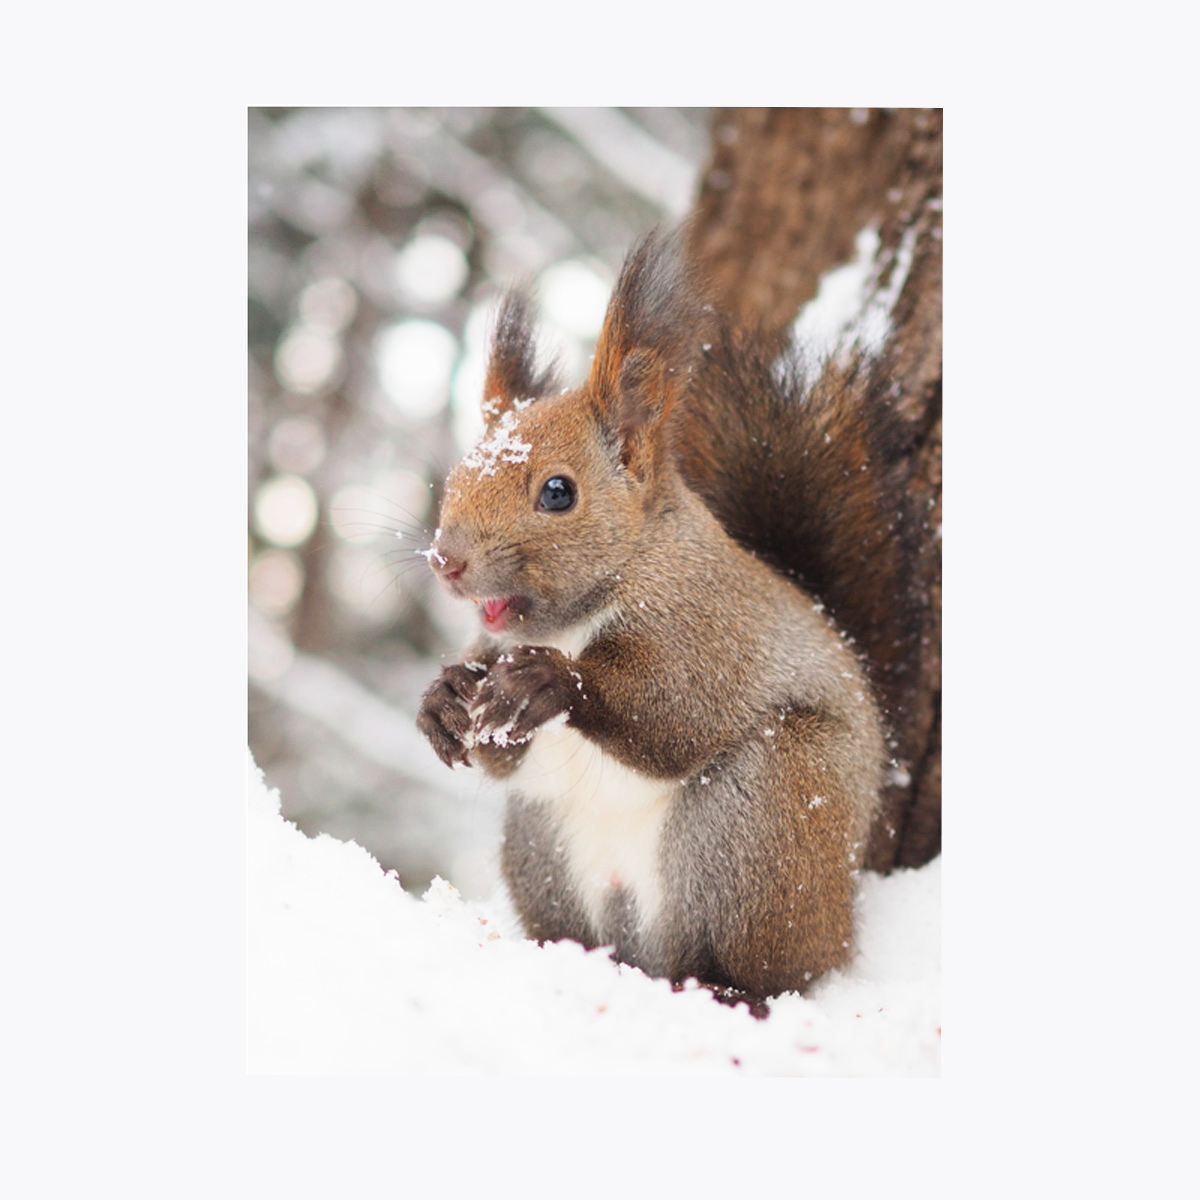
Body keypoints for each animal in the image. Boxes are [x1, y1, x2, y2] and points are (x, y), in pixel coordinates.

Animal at [415, 225, 916, 1003]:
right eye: (461, 474)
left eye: (558, 492)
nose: (447, 559)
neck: (576, 617)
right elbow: (496, 752)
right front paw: (442, 699)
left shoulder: (709, 627)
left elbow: (673, 713)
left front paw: (550, 682)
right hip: (540, 843)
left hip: (770, 813)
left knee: (770, 968)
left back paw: (733, 988)